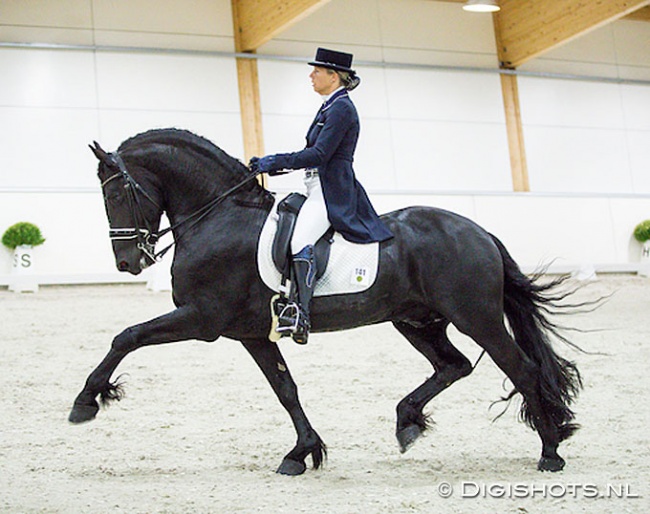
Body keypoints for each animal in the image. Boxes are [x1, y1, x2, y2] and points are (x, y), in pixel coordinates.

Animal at [69, 128, 576, 472]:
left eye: (116, 192)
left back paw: (550, 451)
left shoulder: (202, 319)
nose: (128, 263)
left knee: (521, 368)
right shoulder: (252, 333)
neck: (219, 217)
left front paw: (86, 401)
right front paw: (303, 452)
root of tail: (478, 231)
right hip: (417, 320)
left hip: (477, 317)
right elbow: (285, 388)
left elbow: (126, 337)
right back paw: (408, 421)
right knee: (454, 365)